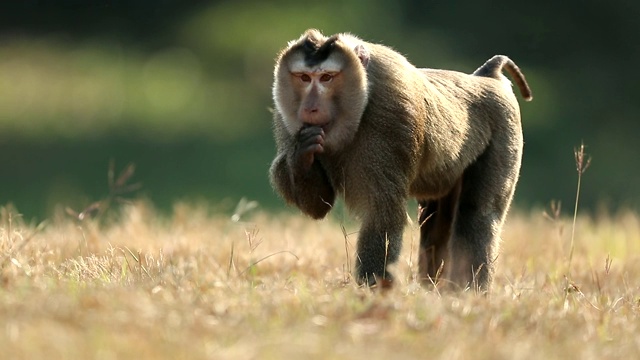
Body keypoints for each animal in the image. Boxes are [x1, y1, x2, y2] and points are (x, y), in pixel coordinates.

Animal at [268, 28, 532, 292]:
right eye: (304, 77)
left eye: (326, 78)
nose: (310, 108)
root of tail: (488, 78)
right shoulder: (285, 116)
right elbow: (318, 206)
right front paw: (302, 155)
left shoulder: (391, 111)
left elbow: (382, 215)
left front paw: (372, 290)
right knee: (436, 223)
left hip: (504, 126)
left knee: (478, 214)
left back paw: (467, 292)